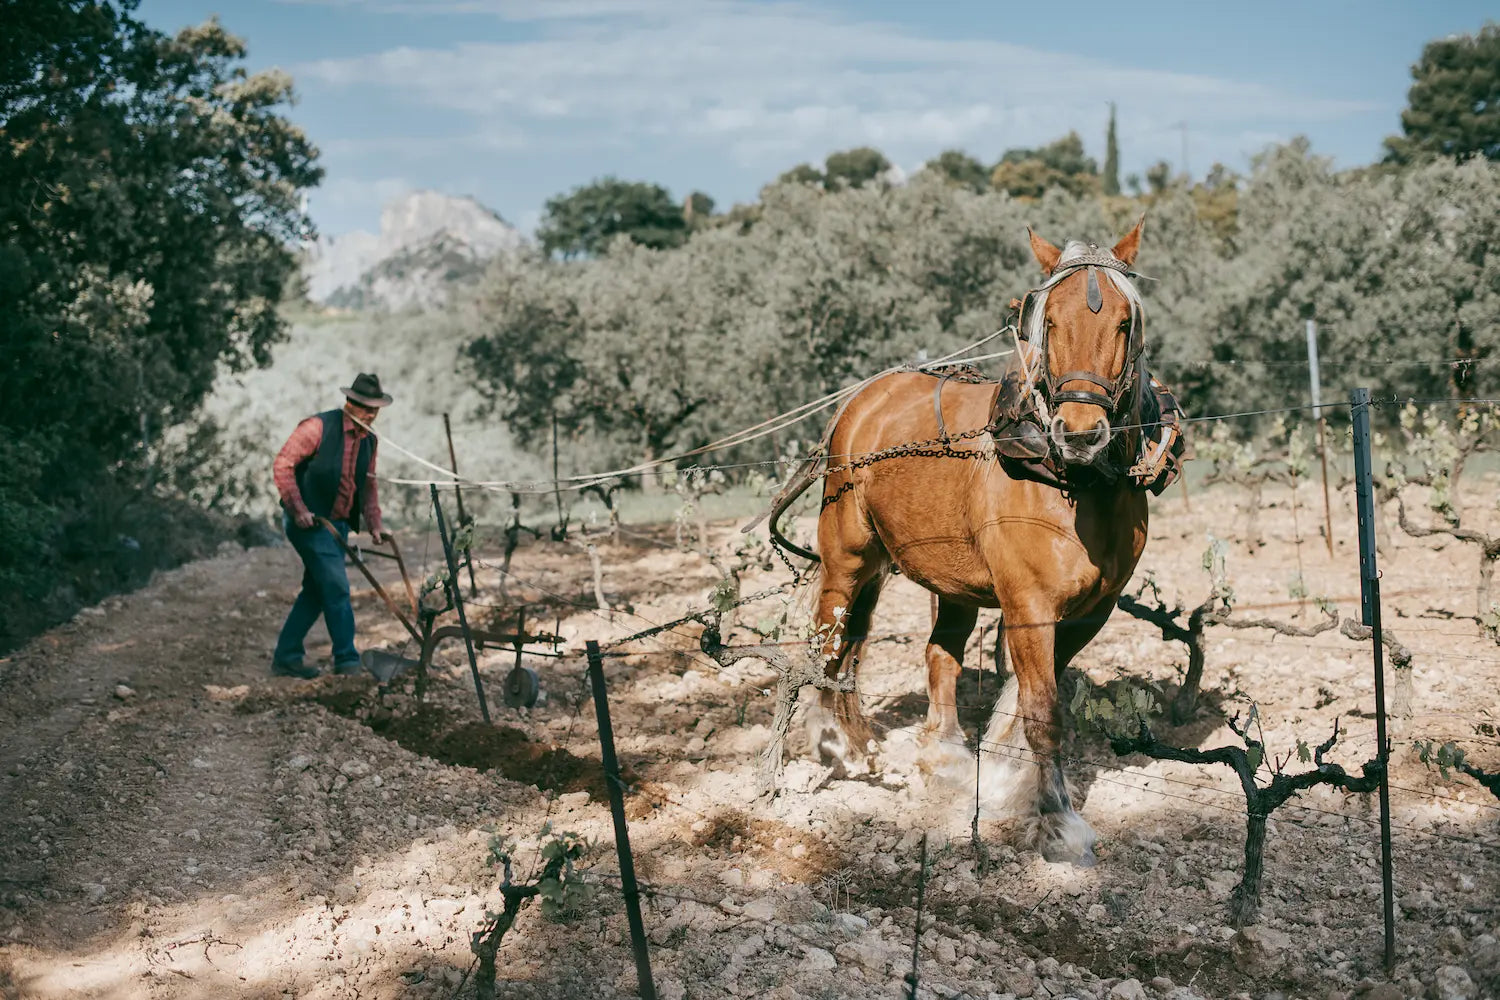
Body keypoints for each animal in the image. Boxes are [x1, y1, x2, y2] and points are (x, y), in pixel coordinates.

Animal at [766, 222, 1154, 866]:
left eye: (1126, 323)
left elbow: (1022, 703)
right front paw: (1059, 823)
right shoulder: (1028, 605)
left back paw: (941, 756)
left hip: (945, 577)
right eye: (1048, 321)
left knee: (933, 654)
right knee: (828, 640)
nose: (1079, 434)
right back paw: (831, 743)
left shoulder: (1089, 612)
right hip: (846, 558)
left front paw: (997, 784)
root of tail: (860, 400)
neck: (1074, 484)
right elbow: (1041, 711)